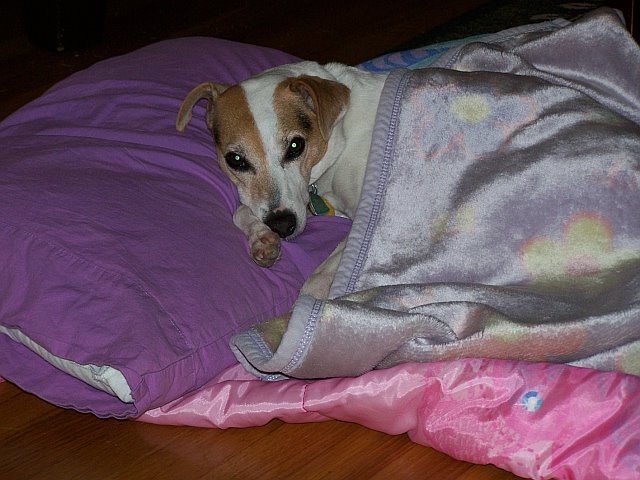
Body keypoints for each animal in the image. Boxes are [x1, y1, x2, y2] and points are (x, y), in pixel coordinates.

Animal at [175, 62, 388, 298]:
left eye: (295, 146)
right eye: (236, 159)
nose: (282, 226)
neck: (340, 136)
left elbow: (315, 282)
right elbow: (240, 211)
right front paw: (261, 237)